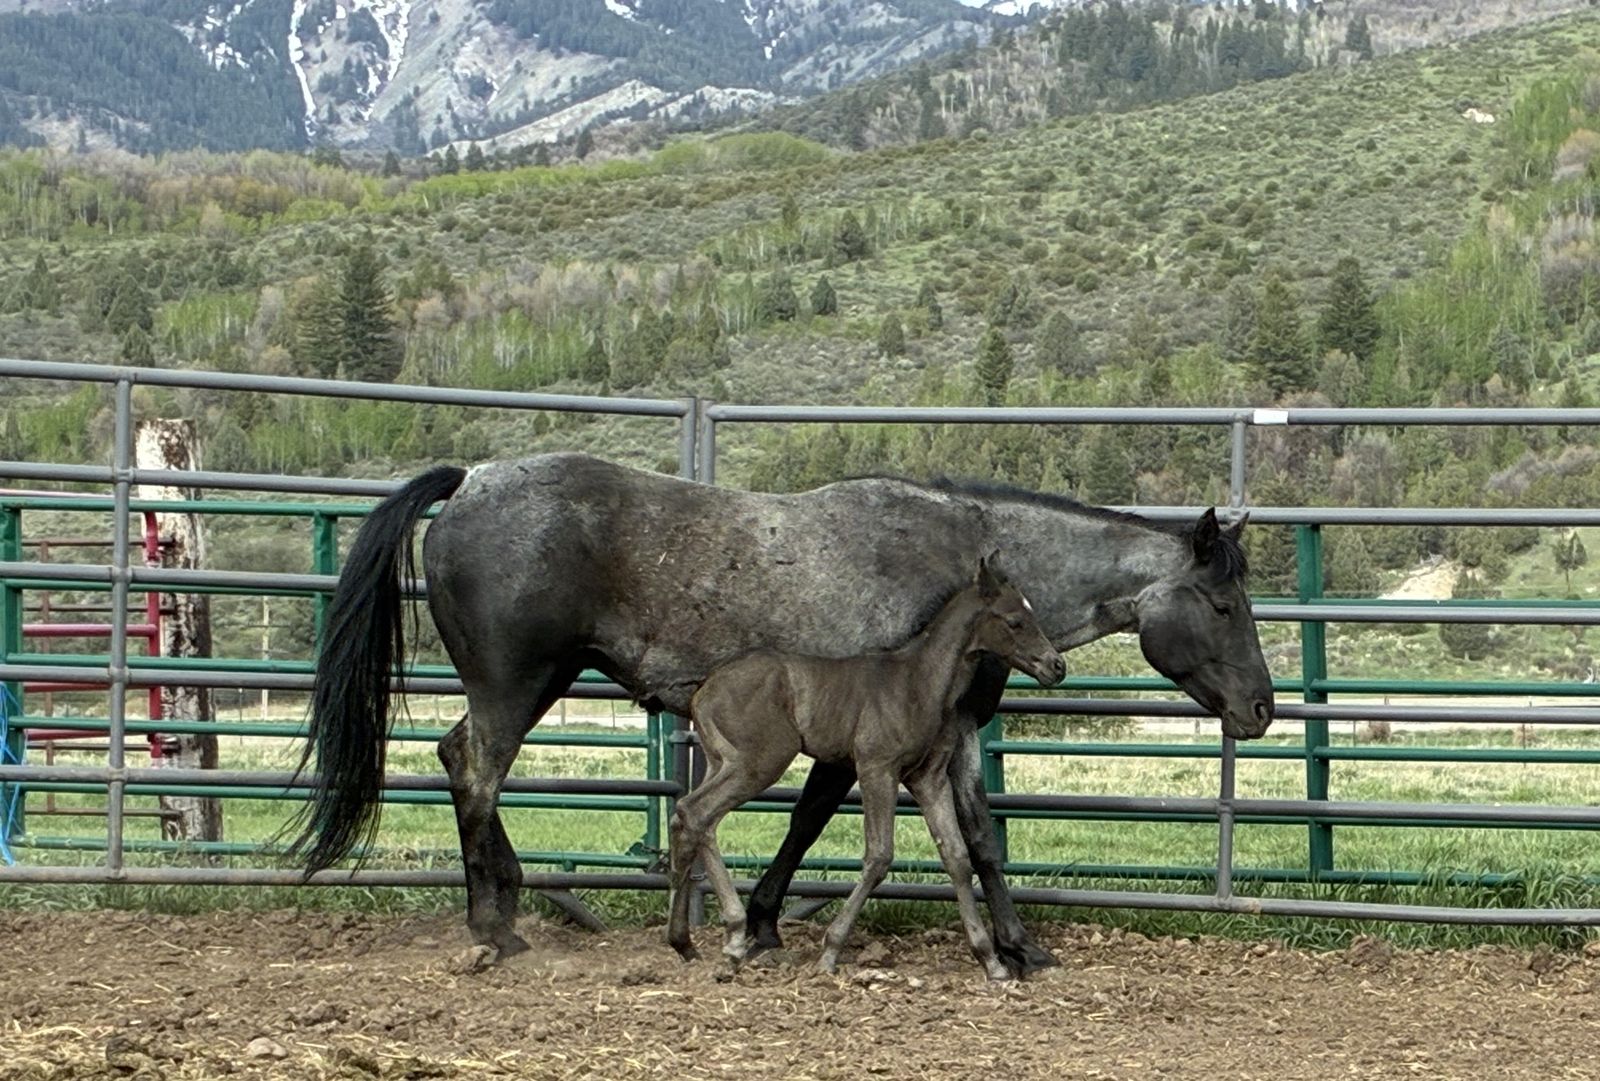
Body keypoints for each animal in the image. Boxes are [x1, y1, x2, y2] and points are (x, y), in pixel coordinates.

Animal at [668, 555, 1065, 979]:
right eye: (1015, 621)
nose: (1056, 666)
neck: (919, 682)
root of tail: (704, 691)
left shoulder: (928, 778)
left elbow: (956, 857)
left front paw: (991, 960)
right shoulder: (877, 768)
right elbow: (879, 856)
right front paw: (830, 951)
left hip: (722, 763)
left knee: (691, 819)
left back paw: (692, 941)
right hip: (759, 762)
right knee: (697, 813)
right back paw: (728, 939)